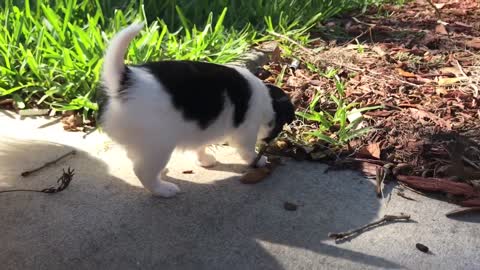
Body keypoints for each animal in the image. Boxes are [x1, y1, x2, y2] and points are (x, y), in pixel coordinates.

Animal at [99, 23, 294, 197]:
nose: (271, 142)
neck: (268, 100)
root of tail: (125, 81)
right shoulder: (245, 135)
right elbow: (248, 152)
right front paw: (259, 160)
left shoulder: (202, 130)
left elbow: (200, 146)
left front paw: (204, 160)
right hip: (159, 146)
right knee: (142, 171)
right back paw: (163, 189)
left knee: (135, 157)